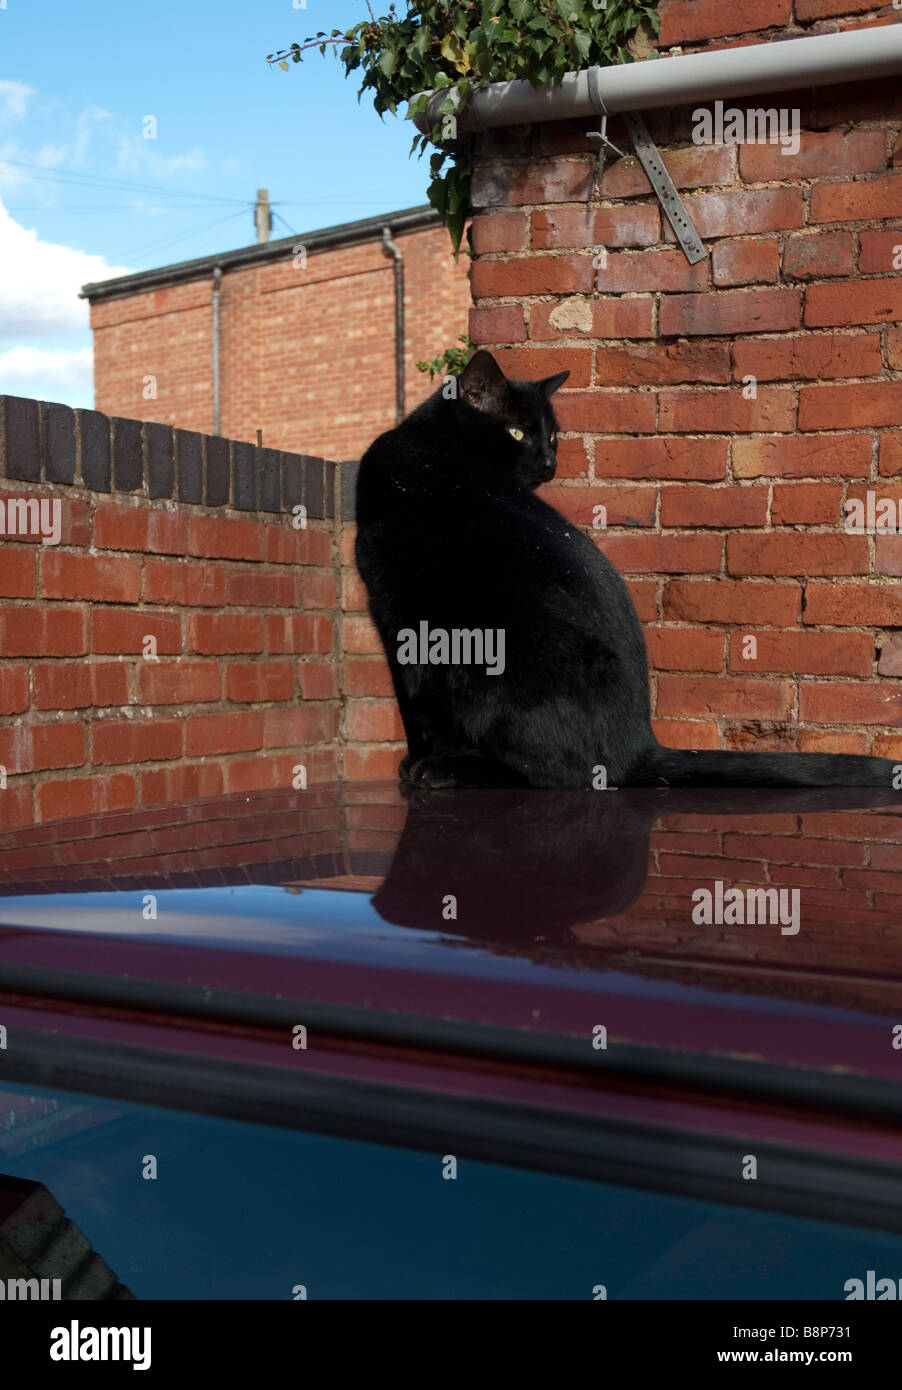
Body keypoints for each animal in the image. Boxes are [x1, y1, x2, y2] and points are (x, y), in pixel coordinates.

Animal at [355, 350, 895, 795]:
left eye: (552, 435)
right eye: (517, 432)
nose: (549, 460)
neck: (432, 450)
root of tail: (638, 745)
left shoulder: (397, 618)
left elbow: (413, 711)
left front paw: (419, 761)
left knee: (558, 773)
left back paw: (452, 768)